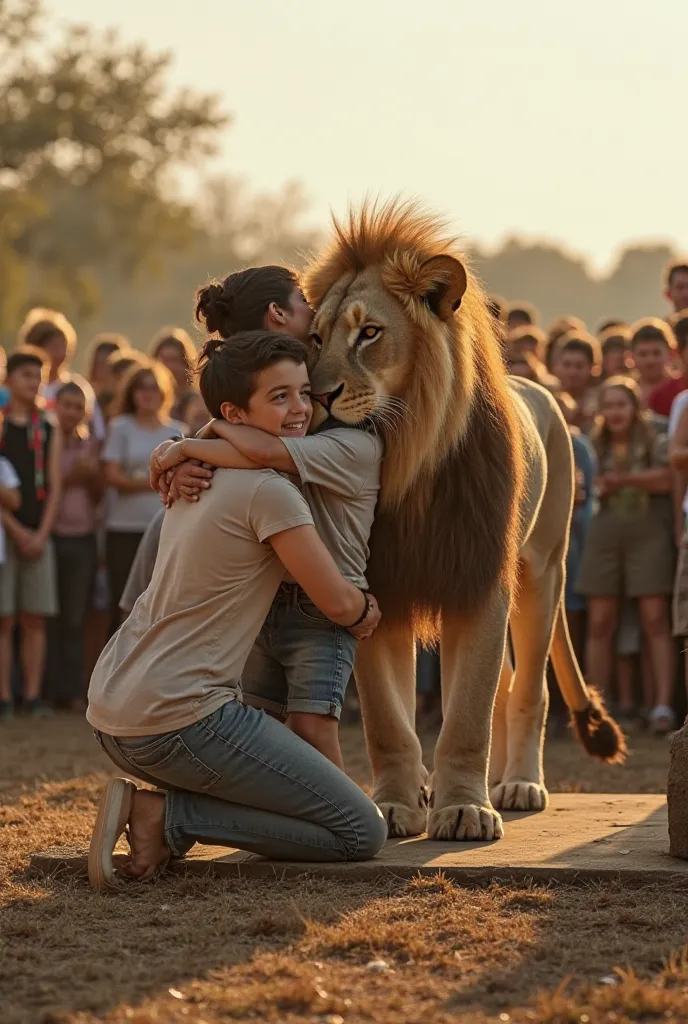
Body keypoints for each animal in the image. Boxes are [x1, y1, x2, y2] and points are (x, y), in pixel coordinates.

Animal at [303, 197, 626, 839]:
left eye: (369, 332)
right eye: (316, 338)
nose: (318, 397)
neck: (408, 458)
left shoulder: (480, 580)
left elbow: (468, 716)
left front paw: (465, 810)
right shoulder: (379, 585)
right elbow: (389, 721)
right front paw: (396, 804)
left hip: (543, 571)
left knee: (526, 689)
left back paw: (518, 785)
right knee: (502, 689)